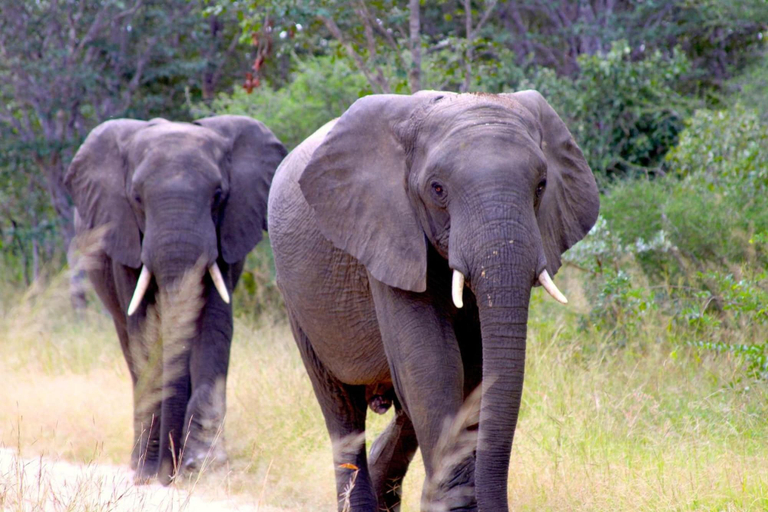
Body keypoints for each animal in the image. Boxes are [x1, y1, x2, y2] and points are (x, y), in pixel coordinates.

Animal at [65, 115, 286, 484]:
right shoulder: (125, 239)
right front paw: (149, 473)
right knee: (130, 347)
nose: (168, 473)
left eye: (218, 195)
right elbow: (144, 333)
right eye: (136, 198)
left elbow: (213, 328)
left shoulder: (225, 237)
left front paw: (202, 467)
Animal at [267, 91, 599, 511]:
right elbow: (433, 363)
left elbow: (473, 371)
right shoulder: (387, 232)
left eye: (541, 186)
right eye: (437, 189)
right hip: (296, 301)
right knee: (342, 409)